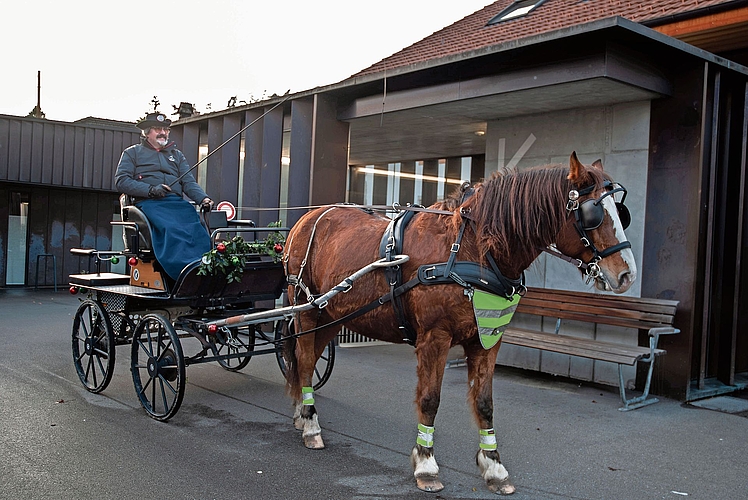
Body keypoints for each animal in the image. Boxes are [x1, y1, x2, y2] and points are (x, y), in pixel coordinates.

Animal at [281, 152, 636, 495]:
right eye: (593, 214)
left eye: (622, 213)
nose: (627, 274)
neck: (471, 250)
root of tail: (308, 218)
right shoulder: (434, 338)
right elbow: (430, 399)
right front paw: (426, 464)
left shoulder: (487, 338)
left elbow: (485, 403)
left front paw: (494, 467)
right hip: (306, 310)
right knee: (306, 359)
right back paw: (310, 424)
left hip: (332, 315)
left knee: (307, 358)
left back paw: (302, 412)